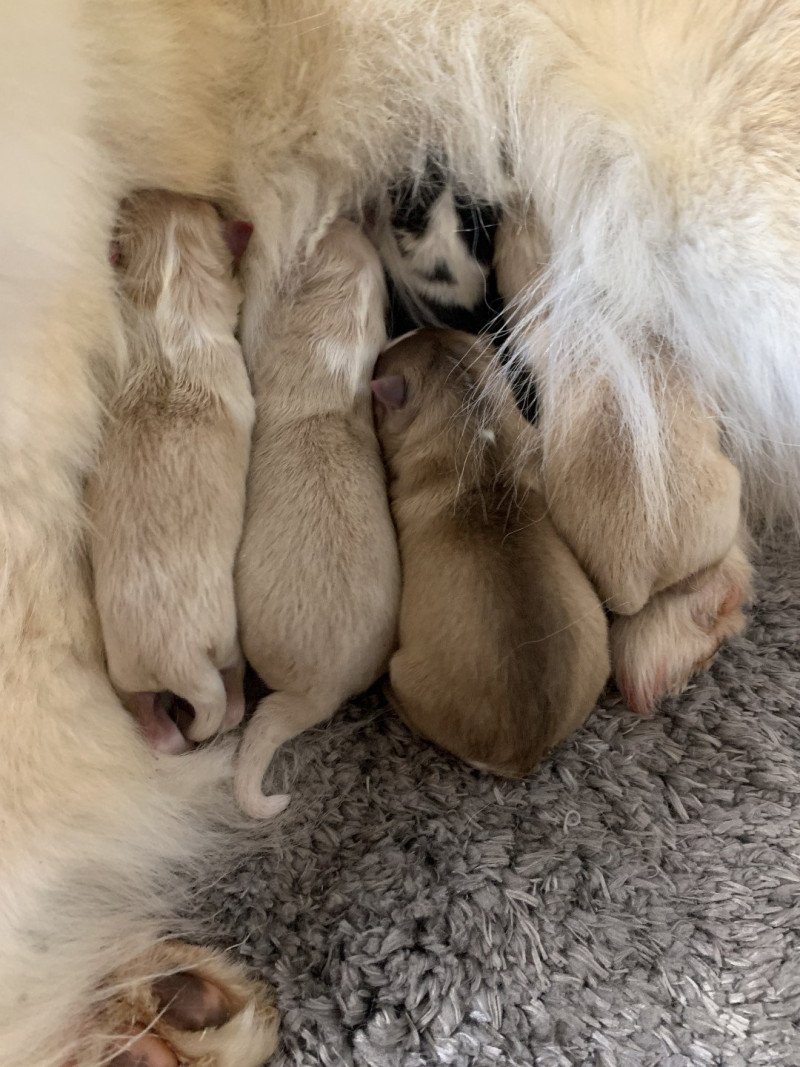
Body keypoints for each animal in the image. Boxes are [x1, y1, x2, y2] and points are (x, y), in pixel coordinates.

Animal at [86, 194, 253, 759]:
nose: (130, 194)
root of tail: (179, 659)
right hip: (224, 641)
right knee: (230, 691)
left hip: (128, 669)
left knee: (148, 713)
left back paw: (166, 734)